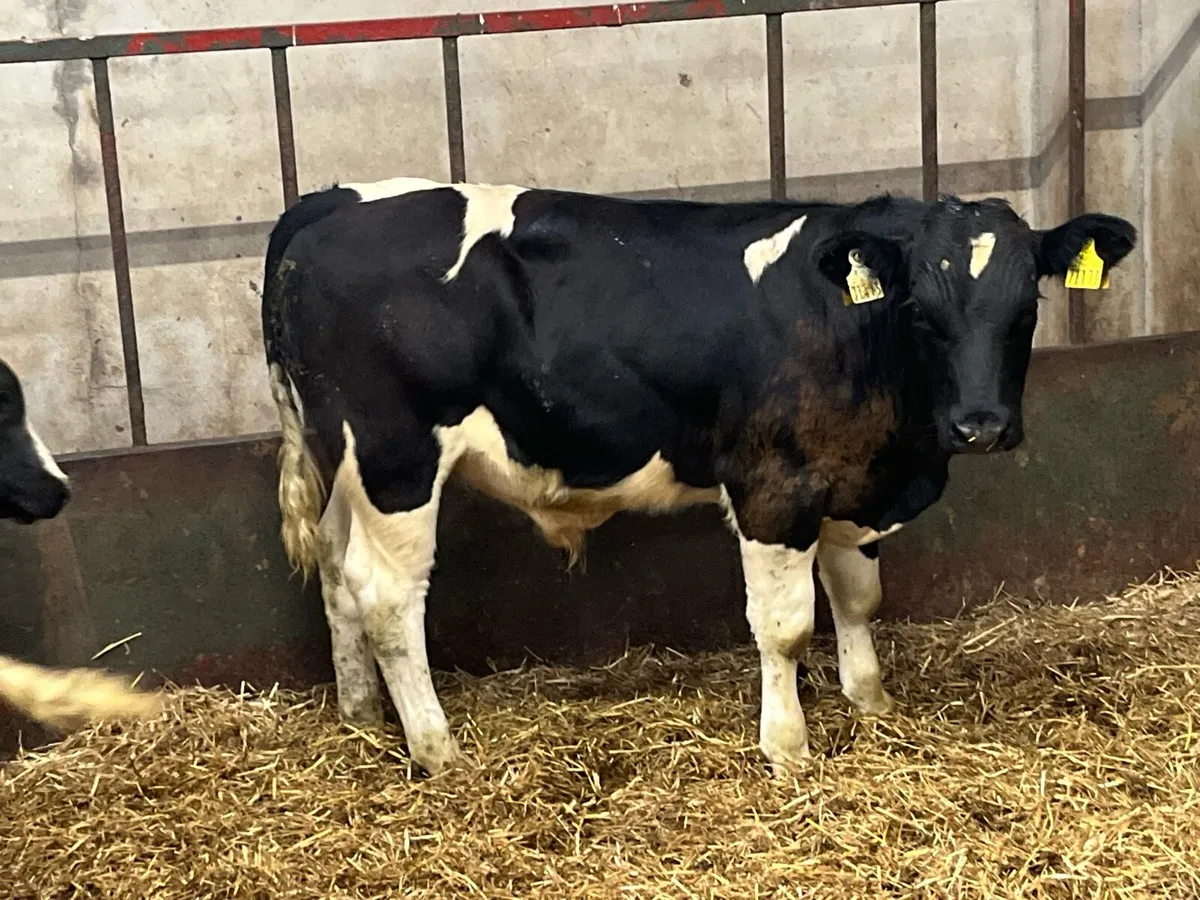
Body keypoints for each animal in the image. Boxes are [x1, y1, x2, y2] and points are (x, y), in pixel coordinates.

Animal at [260, 177, 1136, 775]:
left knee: (336, 575)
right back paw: (436, 748)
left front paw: (870, 701)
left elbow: (858, 598)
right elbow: (786, 627)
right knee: (385, 597)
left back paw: (362, 716)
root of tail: (333, 201)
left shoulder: (852, 482)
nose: (980, 425)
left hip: (345, 462)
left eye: (1026, 308)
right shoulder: (775, 487)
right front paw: (787, 747)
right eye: (921, 308)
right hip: (397, 460)